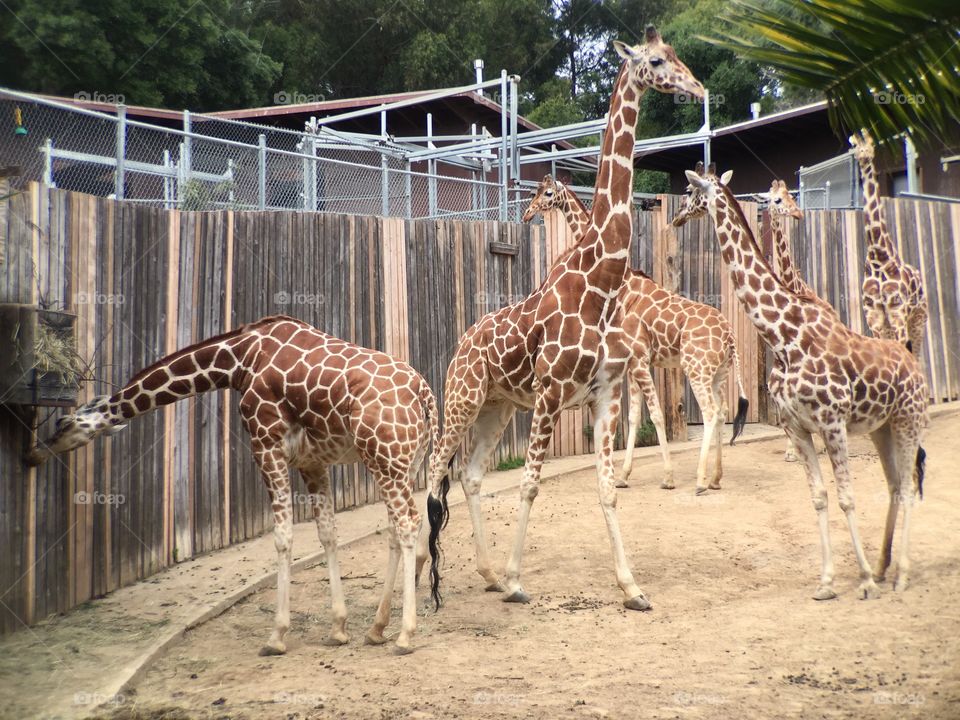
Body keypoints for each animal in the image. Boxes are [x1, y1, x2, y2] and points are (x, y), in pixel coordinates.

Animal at [28, 318, 442, 656]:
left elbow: (283, 537)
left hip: (385, 458)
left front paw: (276, 636)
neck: (238, 359)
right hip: (403, 462)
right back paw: (376, 628)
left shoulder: (265, 443)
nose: (35, 454)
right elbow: (327, 534)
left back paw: (404, 634)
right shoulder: (312, 462)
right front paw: (338, 628)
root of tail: (425, 394)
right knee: (396, 528)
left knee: (407, 522)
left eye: (63, 424)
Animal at [420, 26, 704, 608]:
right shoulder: (551, 393)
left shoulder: (602, 394)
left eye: (677, 57)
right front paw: (516, 580)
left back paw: (485, 573)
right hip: (462, 397)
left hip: (498, 406)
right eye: (656, 62)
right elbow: (531, 484)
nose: (698, 89)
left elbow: (605, 489)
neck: (598, 285)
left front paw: (632, 587)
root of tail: (461, 344)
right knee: (433, 475)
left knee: (470, 475)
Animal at [520, 171, 752, 492]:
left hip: (696, 369)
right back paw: (716, 477)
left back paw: (700, 480)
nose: (527, 214)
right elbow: (633, 418)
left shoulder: (640, 360)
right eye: (536, 192)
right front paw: (623, 476)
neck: (623, 285)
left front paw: (667, 477)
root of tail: (730, 336)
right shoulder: (632, 364)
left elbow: (655, 415)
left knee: (710, 412)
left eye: (546, 194)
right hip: (719, 373)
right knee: (723, 411)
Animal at [680, 167, 928, 596]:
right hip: (881, 427)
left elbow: (846, 497)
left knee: (910, 483)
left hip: (908, 420)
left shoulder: (832, 423)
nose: (677, 216)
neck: (785, 336)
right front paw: (828, 581)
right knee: (896, 484)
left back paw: (899, 575)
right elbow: (819, 497)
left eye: (691, 190)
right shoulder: (797, 427)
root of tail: (914, 367)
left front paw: (863, 580)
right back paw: (884, 566)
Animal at [852, 129, 928, 358]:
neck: (878, 255)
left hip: (918, 318)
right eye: (855, 146)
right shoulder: (874, 314)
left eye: (870, 144)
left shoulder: (897, 311)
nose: (863, 156)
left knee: (917, 356)